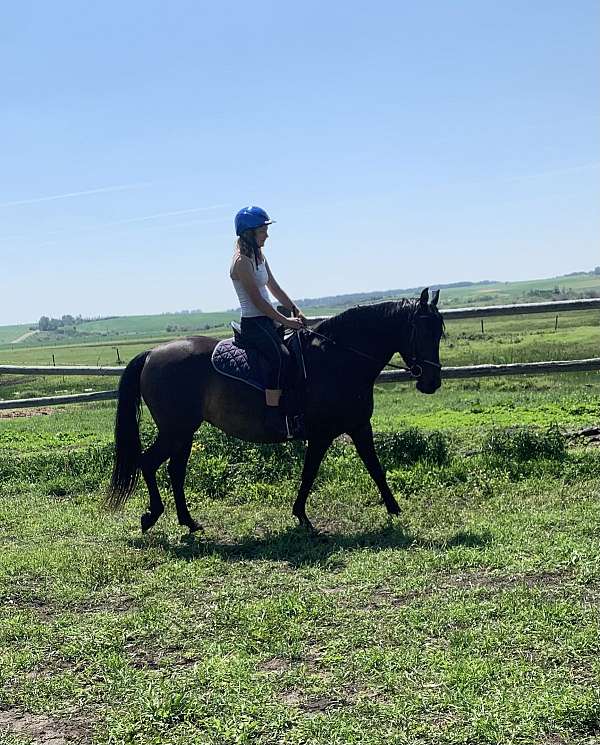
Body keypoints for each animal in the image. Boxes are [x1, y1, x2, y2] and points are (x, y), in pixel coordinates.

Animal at [108, 286, 442, 536]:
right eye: (422, 331)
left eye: (439, 333)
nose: (432, 382)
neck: (339, 359)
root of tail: (153, 353)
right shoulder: (322, 434)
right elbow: (309, 474)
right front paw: (302, 517)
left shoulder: (359, 426)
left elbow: (375, 468)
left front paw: (395, 509)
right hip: (176, 430)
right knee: (148, 462)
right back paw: (152, 516)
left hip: (184, 432)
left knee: (175, 471)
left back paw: (189, 522)